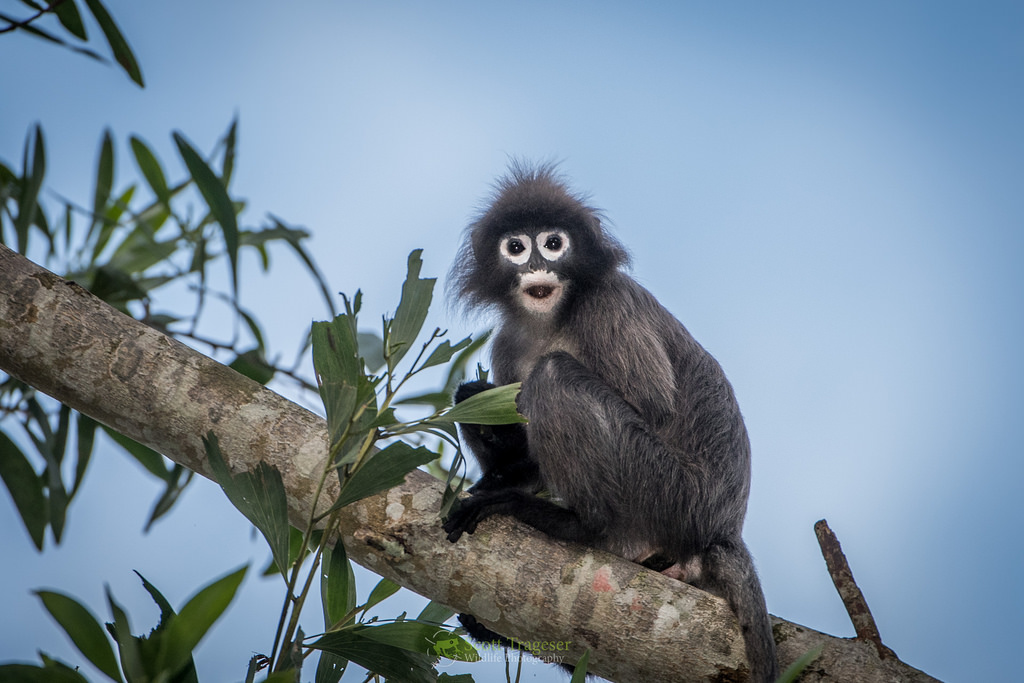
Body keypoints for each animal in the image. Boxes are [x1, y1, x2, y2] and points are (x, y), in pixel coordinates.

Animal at [442, 163, 779, 682]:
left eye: (553, 243)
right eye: (515, 247)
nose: (535, 267)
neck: (552, 319)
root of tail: (722, 529)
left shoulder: (609, 305)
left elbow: (654, 407)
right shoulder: (508, 340)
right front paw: (497, 466)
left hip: (669, 493)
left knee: (553, 375)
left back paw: (578, 525)